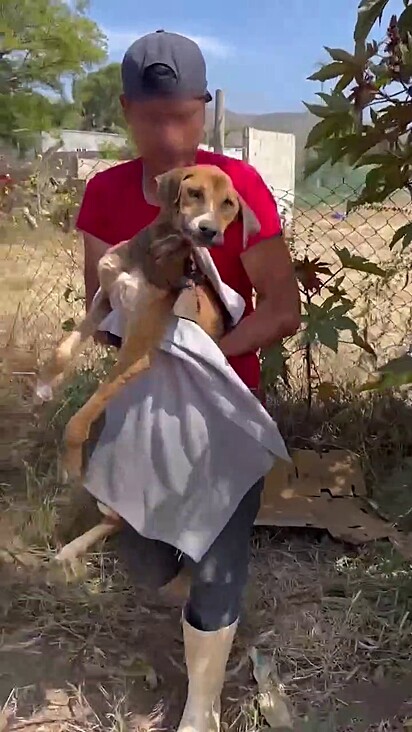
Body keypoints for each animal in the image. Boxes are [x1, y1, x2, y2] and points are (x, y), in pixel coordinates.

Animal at [36, 164, 260, 568]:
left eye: (229, 205)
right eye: (195, 194)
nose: (209, 231)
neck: (155, 255)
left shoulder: (138, 349)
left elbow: (81, 417)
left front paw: (71, 464)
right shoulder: (105, 299)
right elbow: (64, 349)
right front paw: (44, 384)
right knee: (114, 519)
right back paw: (71, 549)